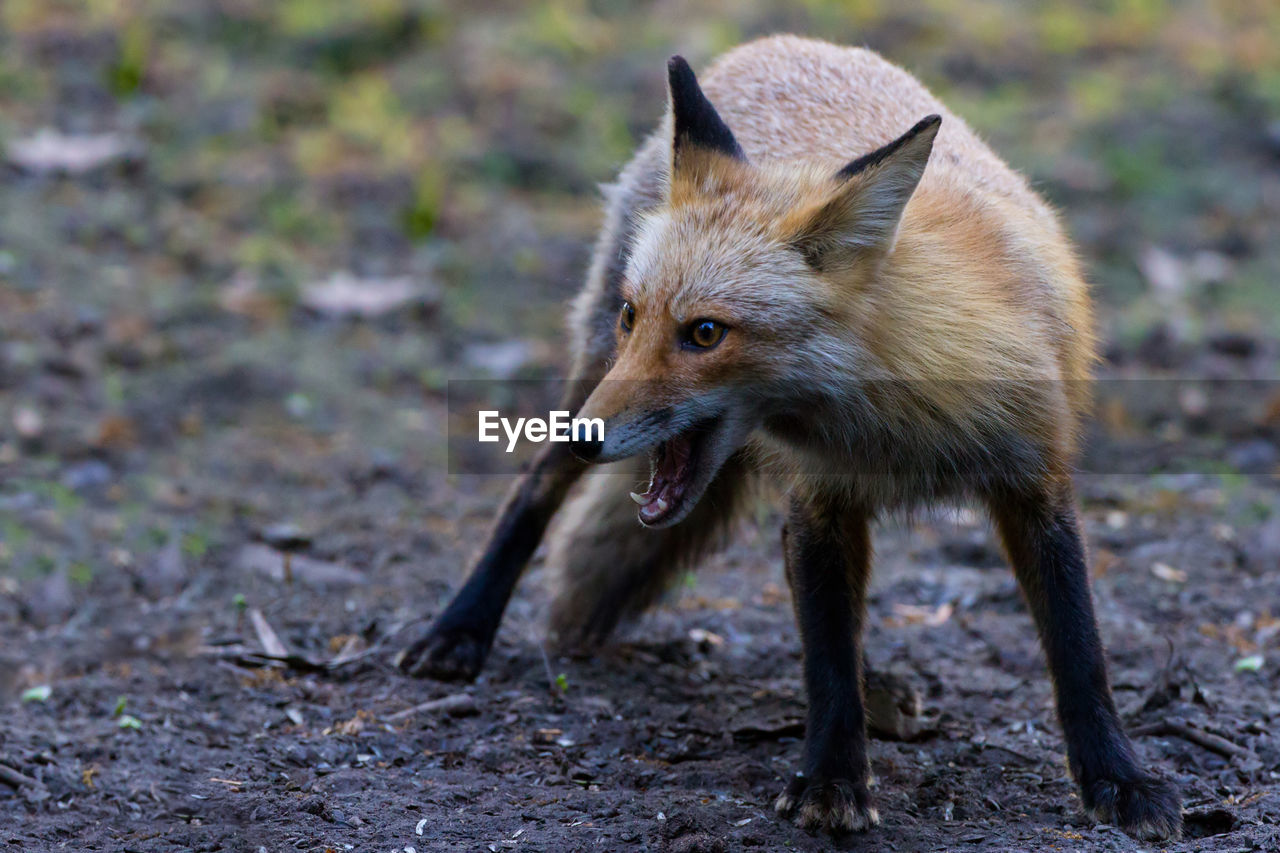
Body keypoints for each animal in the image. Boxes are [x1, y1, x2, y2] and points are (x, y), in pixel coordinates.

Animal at [396, 34, 1177, 835]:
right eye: (634, 316)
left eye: (705, 333)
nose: (586, 436)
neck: (900, 427)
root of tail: (774, 44)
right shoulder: (820, 499)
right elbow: (825, 657)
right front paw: (832, 778)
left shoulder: (1034, 479)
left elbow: (1079, 649)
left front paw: (1118, 778)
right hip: (590, 367)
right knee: (533, 492)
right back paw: (460, 629)